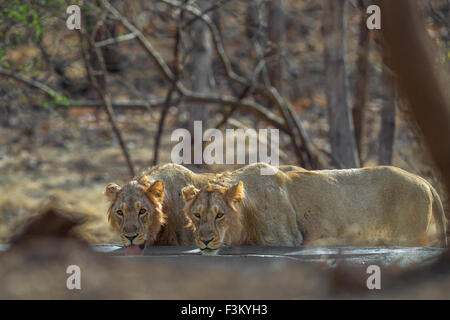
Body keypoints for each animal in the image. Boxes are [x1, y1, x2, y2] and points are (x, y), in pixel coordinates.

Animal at [183, 164, 446, 254]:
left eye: (219, 215)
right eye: (197, 215)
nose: (205, 240)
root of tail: (424, 181)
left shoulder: (287, 240)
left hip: (409, 236)